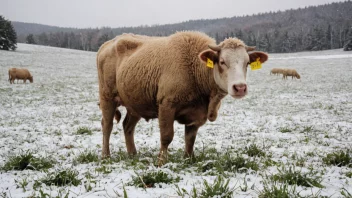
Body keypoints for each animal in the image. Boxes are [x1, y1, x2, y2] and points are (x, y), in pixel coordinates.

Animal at [97, 31, 270, 166]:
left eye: (247, 63)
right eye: (222, 61)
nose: (240, 87)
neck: (194, 68)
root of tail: (108, 44)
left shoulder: (197, 115)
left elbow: (190, 139)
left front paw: (188, 159)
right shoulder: (166, 105)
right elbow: (166, 136)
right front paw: (161, 162)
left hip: (135, 104)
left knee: (127, 126)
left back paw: (133, 154)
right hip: (107, 97)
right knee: (107, 126)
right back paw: (105, 156)